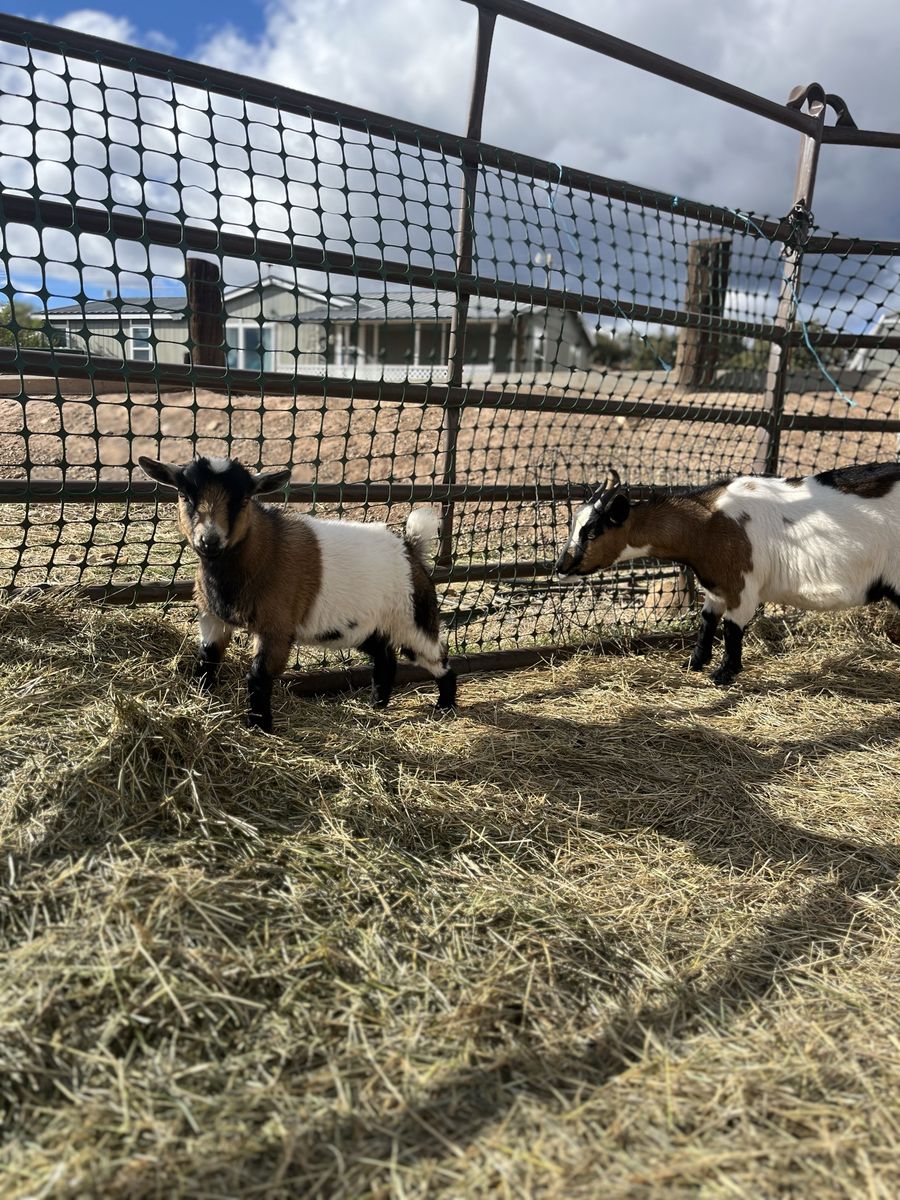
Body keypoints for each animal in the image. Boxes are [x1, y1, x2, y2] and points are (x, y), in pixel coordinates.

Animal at [138, 455, 457, 731]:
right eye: (184, 495)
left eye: (243, 499)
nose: (210, 541)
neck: (262, 552)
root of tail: (410, 548)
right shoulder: (213, 618)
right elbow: (207, 659)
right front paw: (202, 698)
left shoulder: (277, 627)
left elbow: (258, 676)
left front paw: (260, 726)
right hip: (365, 626)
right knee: (385, 658)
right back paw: (377, 704)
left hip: (414, 619)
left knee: (439, 656)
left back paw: (445, 705)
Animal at [556, 462, 900, 685]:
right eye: (574, 523)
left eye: (593, 530)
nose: (561, 567)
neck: (707, 522)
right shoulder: (716, 586)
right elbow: (707, 622)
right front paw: (694, 663)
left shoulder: (741, 587)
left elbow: (732, 629)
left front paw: (723, 674)